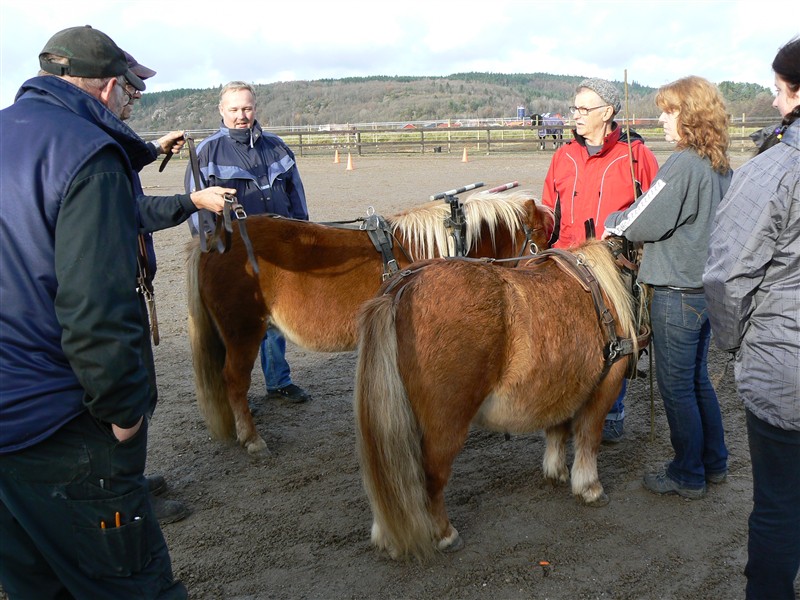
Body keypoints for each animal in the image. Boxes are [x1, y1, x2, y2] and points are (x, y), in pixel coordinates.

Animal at [187, 190, 552, 452]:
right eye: (539, 240)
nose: (552, 267)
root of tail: (217, 240)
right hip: (243, 331)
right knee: (234, 380)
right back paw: (251, 438)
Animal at [356, 239, 644, 564]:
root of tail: (401, 288)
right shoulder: (605, 387)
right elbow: (589, 437)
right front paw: (589, 487)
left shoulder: (561, 384)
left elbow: (557, 430)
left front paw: (556, 471)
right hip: (444, 426)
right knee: (429, 476)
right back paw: (444, 534)